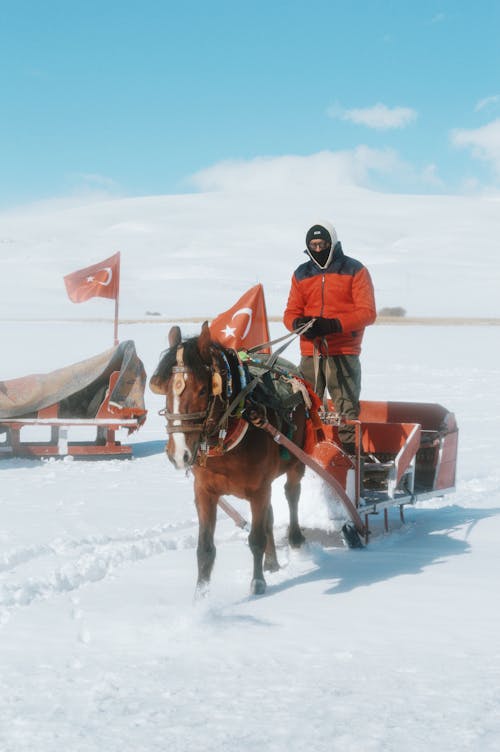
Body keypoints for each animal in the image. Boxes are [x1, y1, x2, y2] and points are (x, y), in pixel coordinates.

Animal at [151, 322, 308, 592]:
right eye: (166, 391)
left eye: (203, 390)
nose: (179, 454)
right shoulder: (205, 492)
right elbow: (205, 550)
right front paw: (201, 596)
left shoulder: (259, 490)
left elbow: (256, 539)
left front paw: (258, 585)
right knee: (270, 515)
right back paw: (272, 562)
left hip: (297, 462)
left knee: (292, 493)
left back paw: (295, 538)